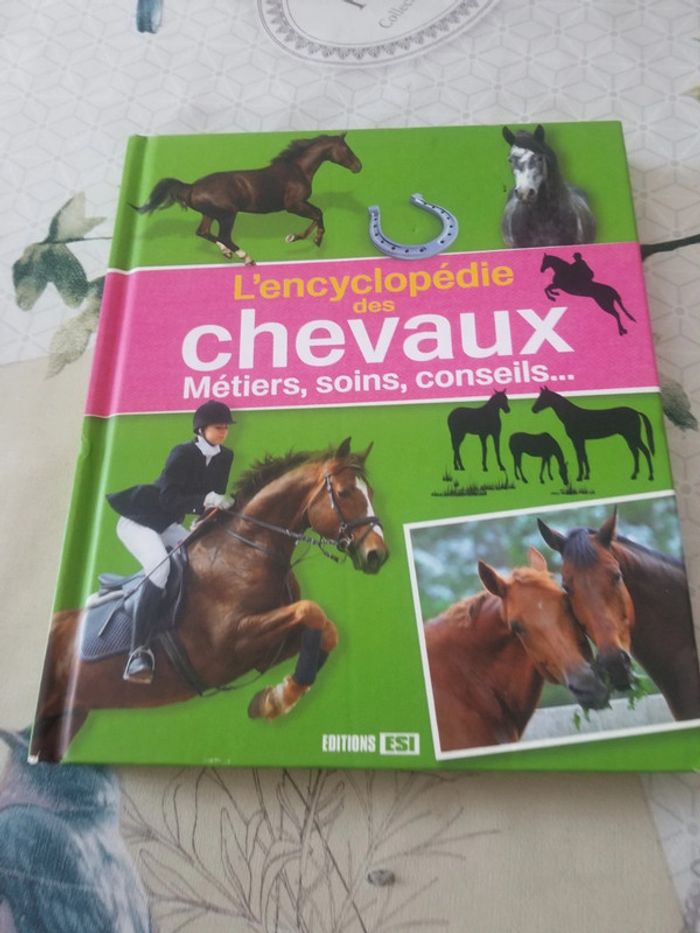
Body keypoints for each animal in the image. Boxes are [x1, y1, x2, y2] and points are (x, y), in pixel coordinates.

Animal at [30, 438, 388, 763]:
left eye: (370, 494)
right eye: (345, 493)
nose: (378, 555)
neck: (249, 550)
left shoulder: (266, 650)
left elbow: (327, 630)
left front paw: (273, 700)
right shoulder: (230, 641)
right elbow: (310, 610)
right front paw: (278, 699)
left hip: (68, 715)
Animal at [132, 134, 362, 264]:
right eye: (346, 149)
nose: (359, 166)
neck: (297, 170)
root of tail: (192, 187)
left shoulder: (297, 205)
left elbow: (316, 215)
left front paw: (301, 237)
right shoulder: (293, 205)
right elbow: (318, 214)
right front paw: (307, 238)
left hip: (210, 214)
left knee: (203, 232)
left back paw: (227, 253)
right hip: (227, 215)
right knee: (223, 236)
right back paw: (246, 258)